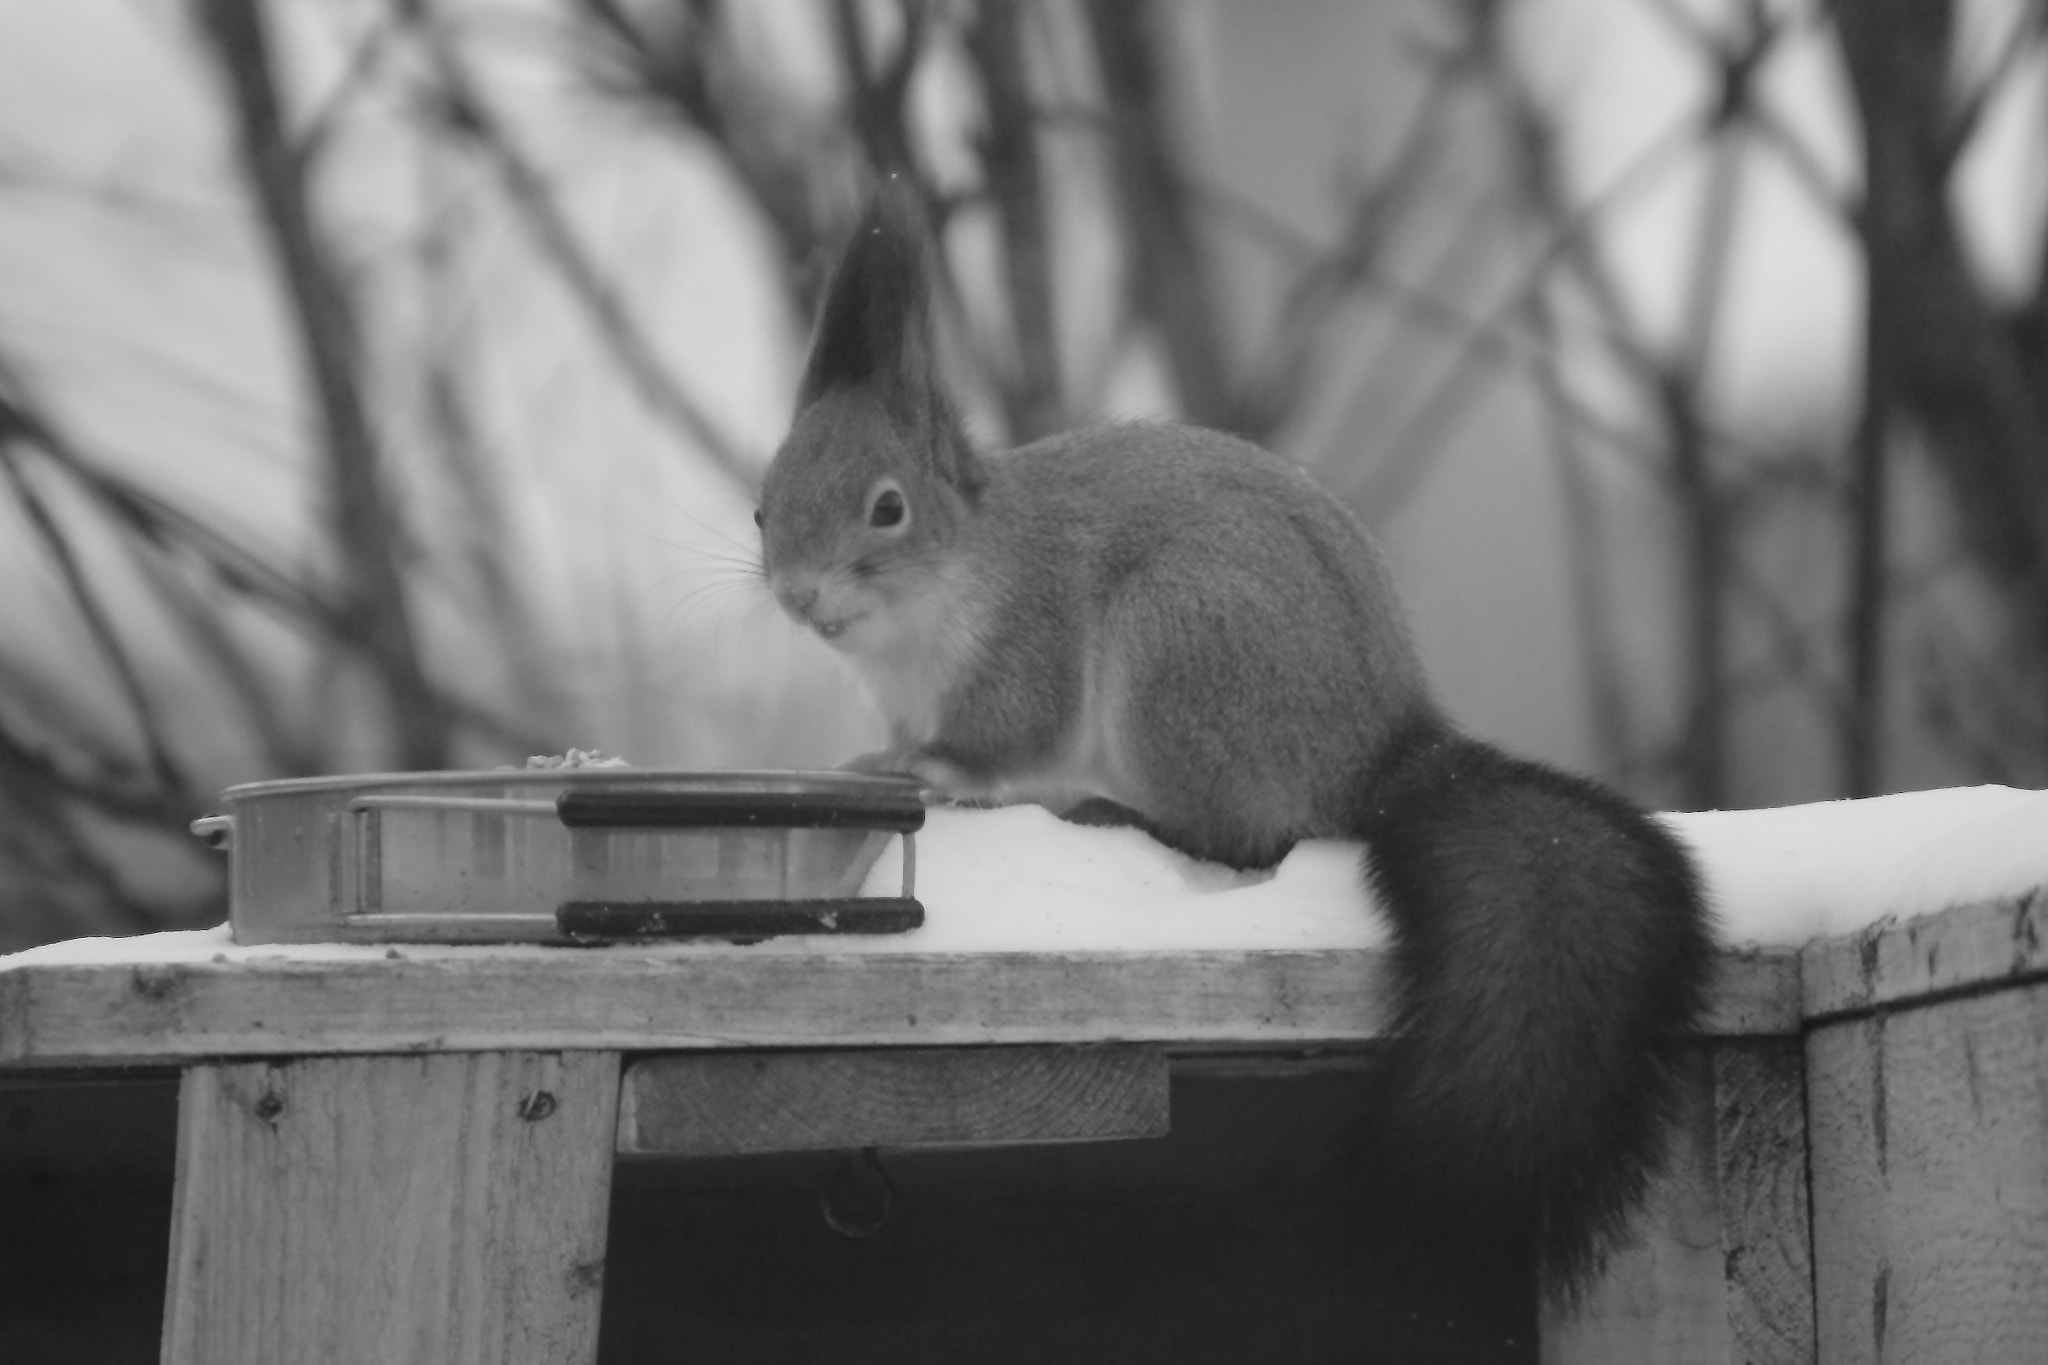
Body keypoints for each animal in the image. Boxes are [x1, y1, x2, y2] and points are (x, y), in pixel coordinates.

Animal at [753, 184, 1712, 1301]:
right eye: (762, 505)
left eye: (888, 509)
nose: (799, 597)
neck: (932, 603)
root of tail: (1381, 754)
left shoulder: (1027, 648)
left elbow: (1000, 739)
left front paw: (921, 768)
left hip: (1183, 650)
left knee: (1243, 839)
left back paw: (1114, 810)